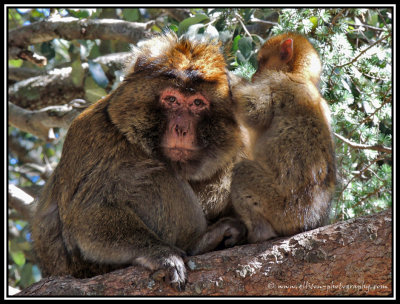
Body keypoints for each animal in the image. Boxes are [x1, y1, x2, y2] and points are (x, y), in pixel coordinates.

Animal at [32, 32, 247, 290]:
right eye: (171, 99)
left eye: (197, 103)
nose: (181, 129)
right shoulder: (100, 137)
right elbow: (87, 218)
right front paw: (160, 253)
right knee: (156, 175)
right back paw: (201, 243)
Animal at [230, 32, 336, 242]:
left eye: (261, 62)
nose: (254, 75)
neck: (298, 74)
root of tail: (307, 222)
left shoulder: (276, 82)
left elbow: (252, 110)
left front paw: (227, 76)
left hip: (280, 207)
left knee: (241, 172)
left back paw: (260, 234)